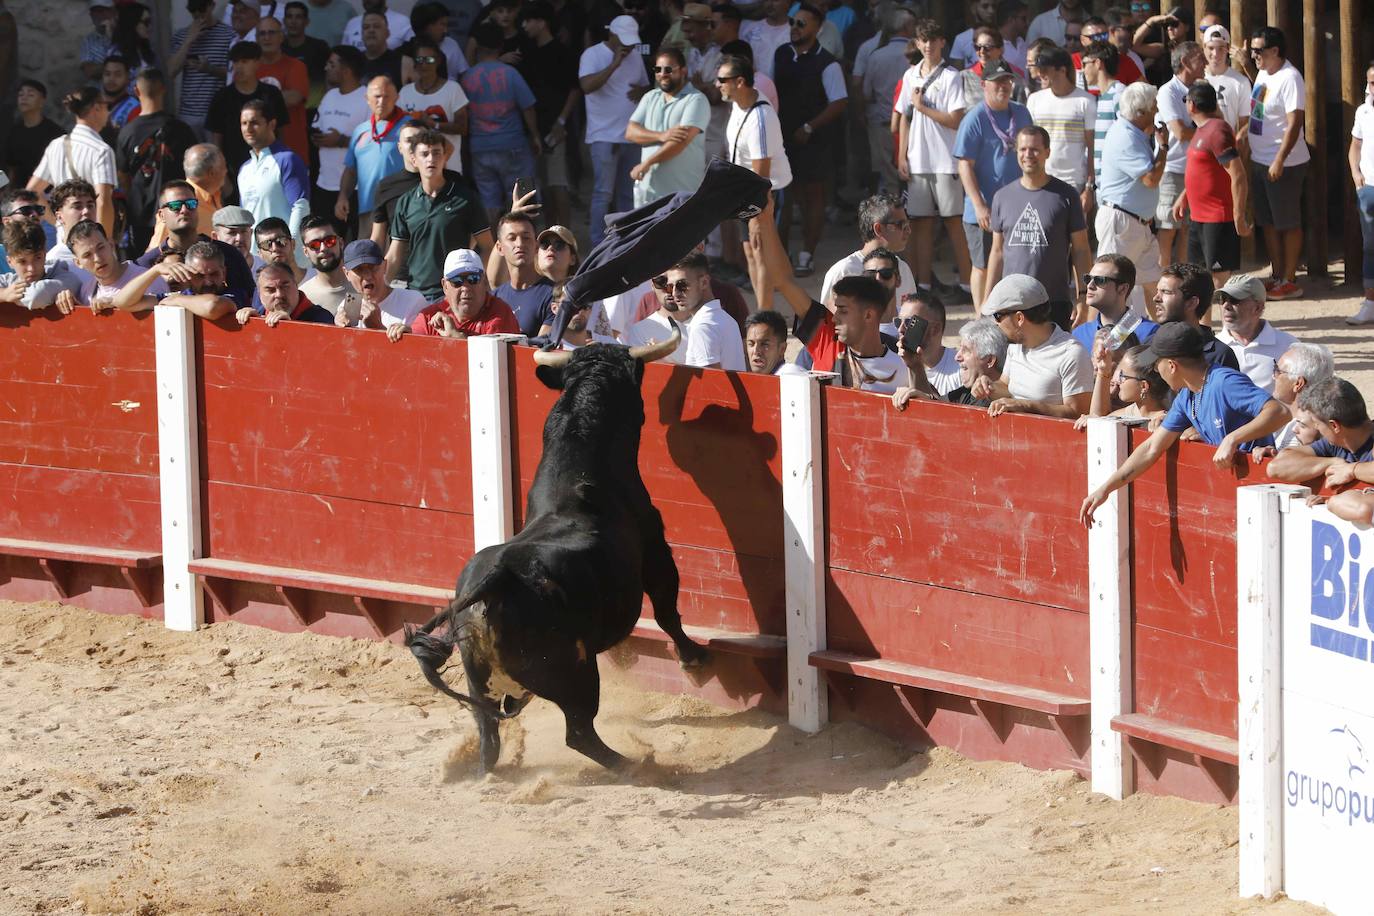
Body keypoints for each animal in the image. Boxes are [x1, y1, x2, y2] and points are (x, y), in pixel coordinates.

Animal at [401, 333, 708, 769]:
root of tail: (494, 584)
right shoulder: (656, 549)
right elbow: (668, 610)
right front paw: (693, 658)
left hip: (481, 686)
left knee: (489, 736)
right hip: (575, 674)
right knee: (579, 732)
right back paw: (637, 764)